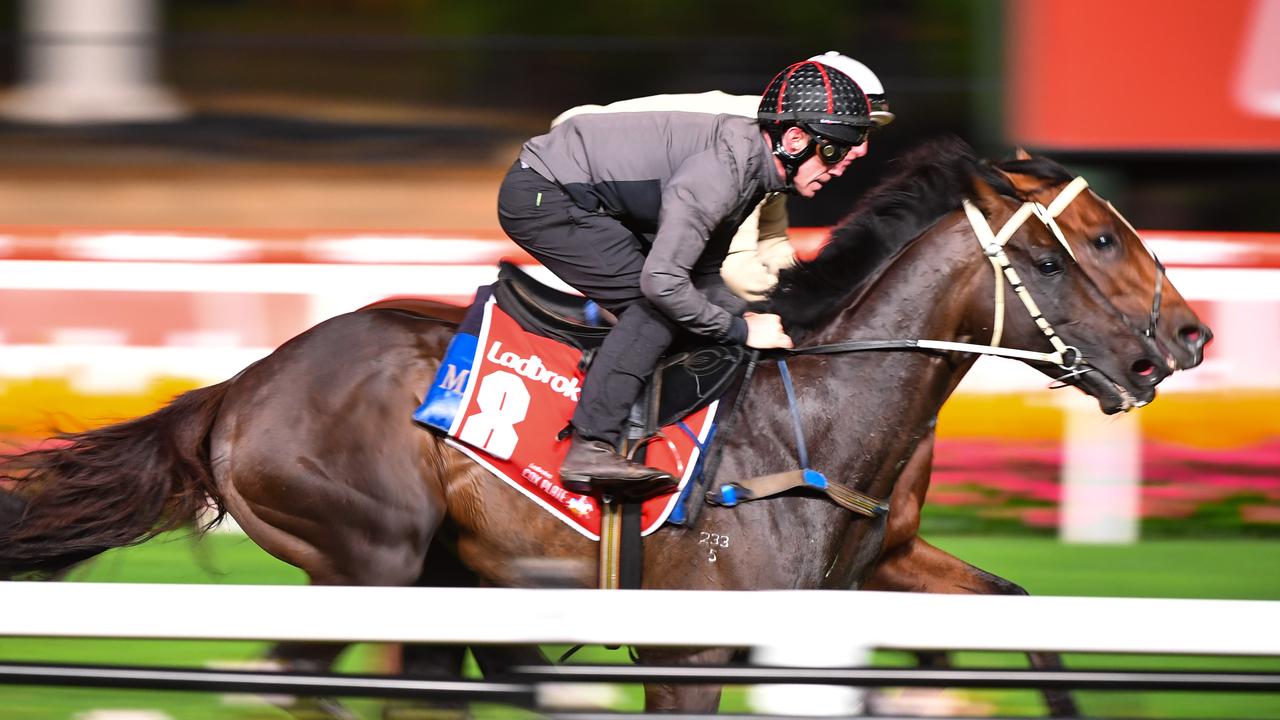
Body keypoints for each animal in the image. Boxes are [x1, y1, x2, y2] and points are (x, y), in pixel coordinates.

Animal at [0, 139, 1198, 712]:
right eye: (1090, 242)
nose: (1186, 336)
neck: (817, 412)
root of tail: (239, 388)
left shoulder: (879, 566)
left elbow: (1024, 617)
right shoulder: (691, 648)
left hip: (438, 575)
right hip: (368, 552)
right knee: (311, 679)